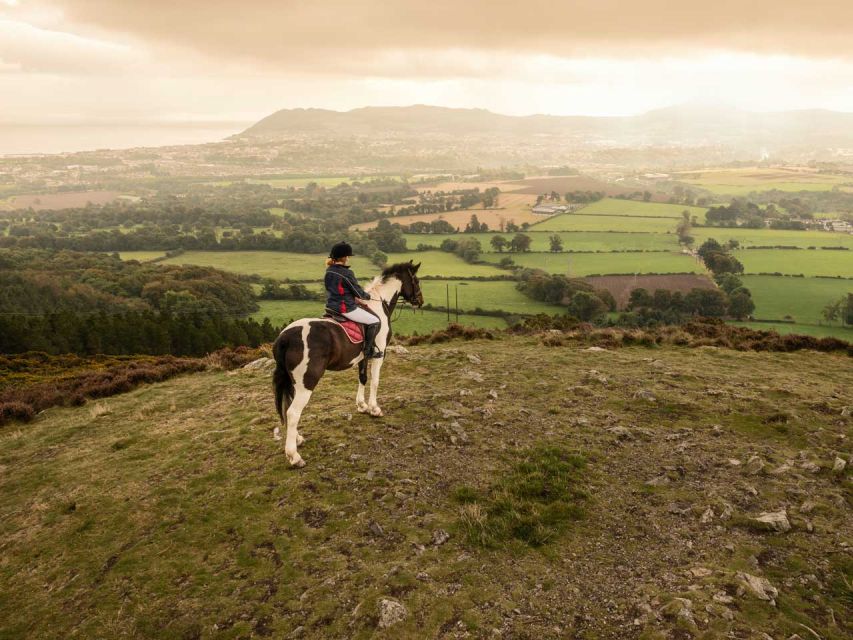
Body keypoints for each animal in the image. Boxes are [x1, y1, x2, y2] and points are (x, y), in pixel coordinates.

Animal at [272, 258, 422, 464]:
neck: (377, 305)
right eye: (416, 280)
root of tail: (284, 337)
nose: (420, 301)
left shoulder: (364, 356)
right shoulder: (380, 353)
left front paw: (362, 406)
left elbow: (363, 378)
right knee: (293, 412)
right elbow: (375, 381)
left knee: (287, 406)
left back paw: (298, 439)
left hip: (293, 382)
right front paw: (374, 409)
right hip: (306, 382)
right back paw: (294, 456)